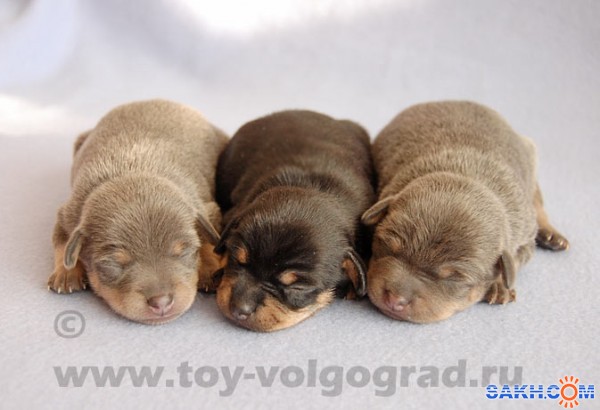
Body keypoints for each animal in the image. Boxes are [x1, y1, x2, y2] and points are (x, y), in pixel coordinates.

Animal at [47, 100, 227, 325]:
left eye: (183, 251)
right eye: (114, 264)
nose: (161, 302)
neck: (133, 171)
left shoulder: (207, 207)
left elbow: (210, 240)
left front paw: (209, 268)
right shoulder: (67, 216)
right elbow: (62, 244)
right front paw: (66, 273)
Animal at [362, 101, 569, 323]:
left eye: (454, 278)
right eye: (387, 247)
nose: (395, 299)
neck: (465, 175)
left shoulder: (524, 239)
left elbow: (511, 262)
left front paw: (499, 285)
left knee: (537, 198)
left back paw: (552, 235)